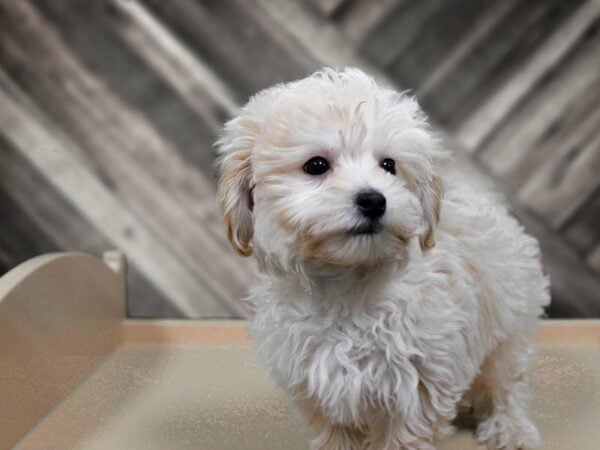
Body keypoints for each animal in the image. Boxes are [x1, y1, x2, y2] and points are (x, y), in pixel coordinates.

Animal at [216, 67, 548, 450]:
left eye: (389, 165)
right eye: (316, 165)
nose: (374, 200)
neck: (347, 282)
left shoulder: (419, 382)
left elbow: (404, 433)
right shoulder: (314, 380)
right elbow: (335, 430)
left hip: (508, 321)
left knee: (506, 379)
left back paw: (511, 428)